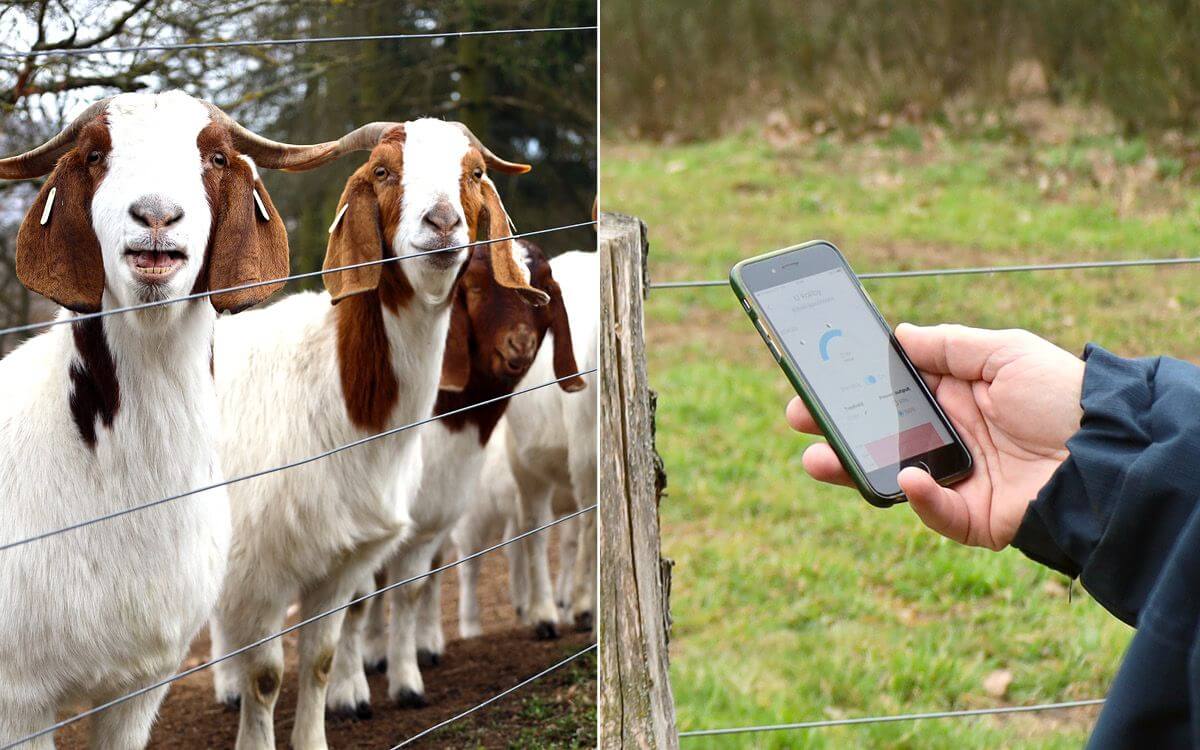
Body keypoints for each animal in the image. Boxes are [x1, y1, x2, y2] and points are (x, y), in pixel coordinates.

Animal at [206, 118, 548, 750]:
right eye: (385, 171)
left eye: (474, 173)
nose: (442, 224)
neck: (341, 395)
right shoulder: (259, 567)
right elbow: (267, 674)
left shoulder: (347, 556)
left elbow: (321, 658)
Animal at [328, 238, 586, 712]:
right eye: (478, 286)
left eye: (542, 290)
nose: (519, 345)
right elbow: (359, 594)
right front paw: (349, 689)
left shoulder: (432, 511)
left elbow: (415, 582)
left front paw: (406, 663)